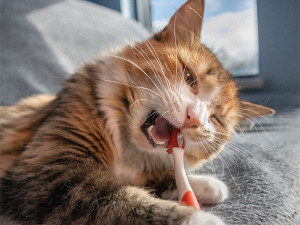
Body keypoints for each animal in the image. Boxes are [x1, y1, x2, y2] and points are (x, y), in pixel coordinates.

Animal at [0, 0, 274, 224]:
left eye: (215, 120)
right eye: (189, 77)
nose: (195, 119)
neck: (127, 148)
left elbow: (159, 179)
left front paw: (206, 186)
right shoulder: (55, 176)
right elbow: (123, 201)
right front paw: (197, 217)